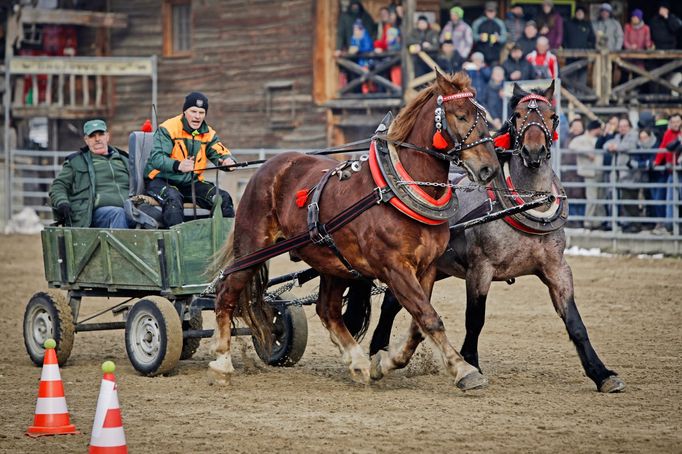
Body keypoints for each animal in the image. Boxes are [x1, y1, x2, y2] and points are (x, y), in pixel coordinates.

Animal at [212, 72, 500, 390]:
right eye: (461, 116)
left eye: (483, 116)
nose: (489, 168)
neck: (396, 188)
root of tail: (269, 167)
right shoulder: (395, 268)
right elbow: (428, 317)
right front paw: (464, 370)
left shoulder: (427, 268)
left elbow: (419, 325)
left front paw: (384, 362)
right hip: (252, 247)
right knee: (225, 294)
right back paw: (222, 363)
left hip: (333, 262)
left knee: (327, 310)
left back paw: (358, 362)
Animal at [358, 81, 624, 394]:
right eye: (518, 115)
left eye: (552, 115)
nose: (534, 152)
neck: (526, 203)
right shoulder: (480, 269)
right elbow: (475, 320)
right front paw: (470, 363)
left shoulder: (557, 269)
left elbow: (575, 322)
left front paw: (601, 373)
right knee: (391, 304)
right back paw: (377, 350)